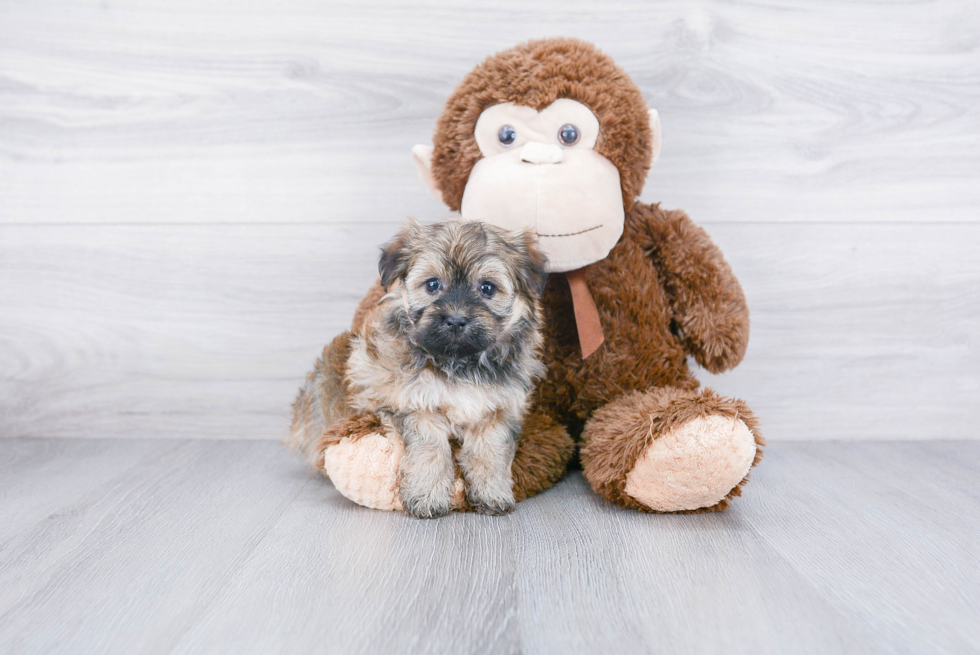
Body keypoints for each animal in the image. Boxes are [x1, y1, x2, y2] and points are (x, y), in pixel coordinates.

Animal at [346, 223, 552, 520]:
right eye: (432, 284)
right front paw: (427, 495)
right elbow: (430, 448)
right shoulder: (416, 403)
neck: (460, 363)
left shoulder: (498, 409)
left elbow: (489, 451)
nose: (455, 320)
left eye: (487, 288)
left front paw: (492, 492)